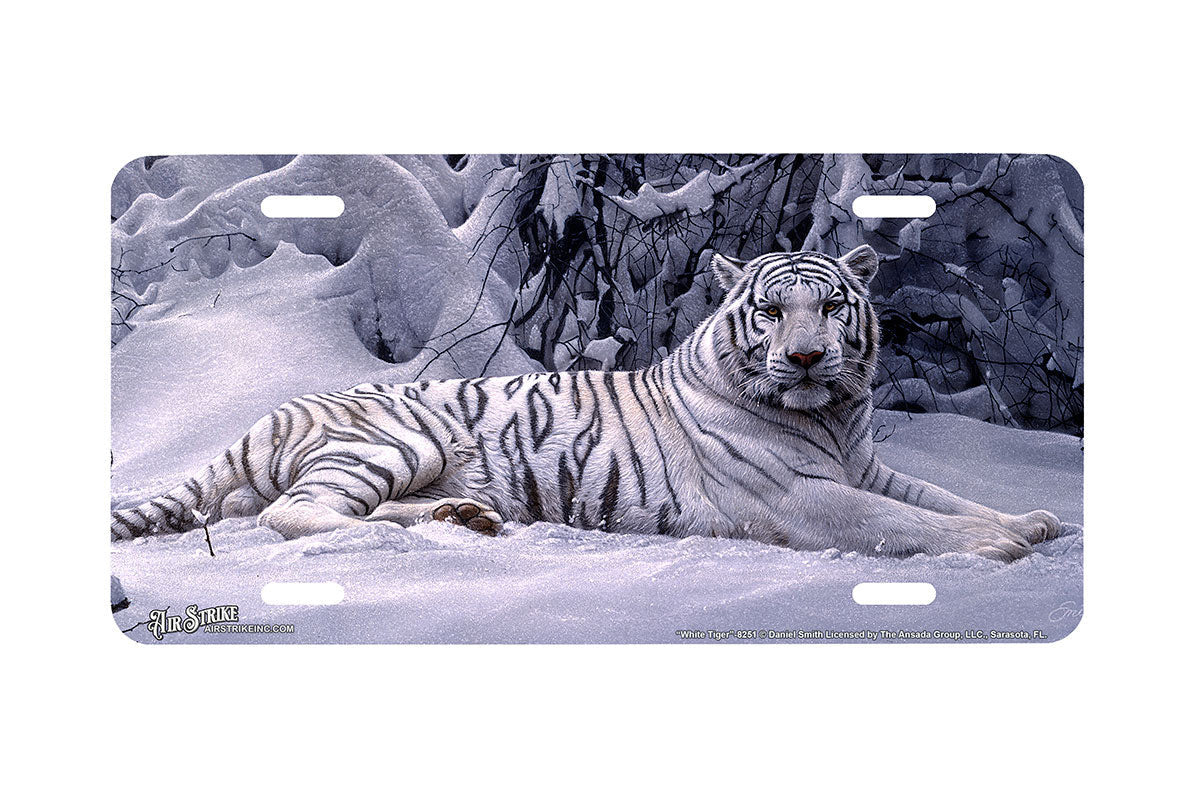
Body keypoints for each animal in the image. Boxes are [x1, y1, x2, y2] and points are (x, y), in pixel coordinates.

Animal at [110, 244, 1061, 561]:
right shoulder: (799, 495)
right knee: (298, 514)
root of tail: (267, 415)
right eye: (769, 310)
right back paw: (419, 531)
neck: (829, 414)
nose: (805, 357)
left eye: (830, 306)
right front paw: (998, 545)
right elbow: (906, 521)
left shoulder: (864, 467)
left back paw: (467, 521)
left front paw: (1036, 518)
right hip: (394, 444)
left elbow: (942, 495)